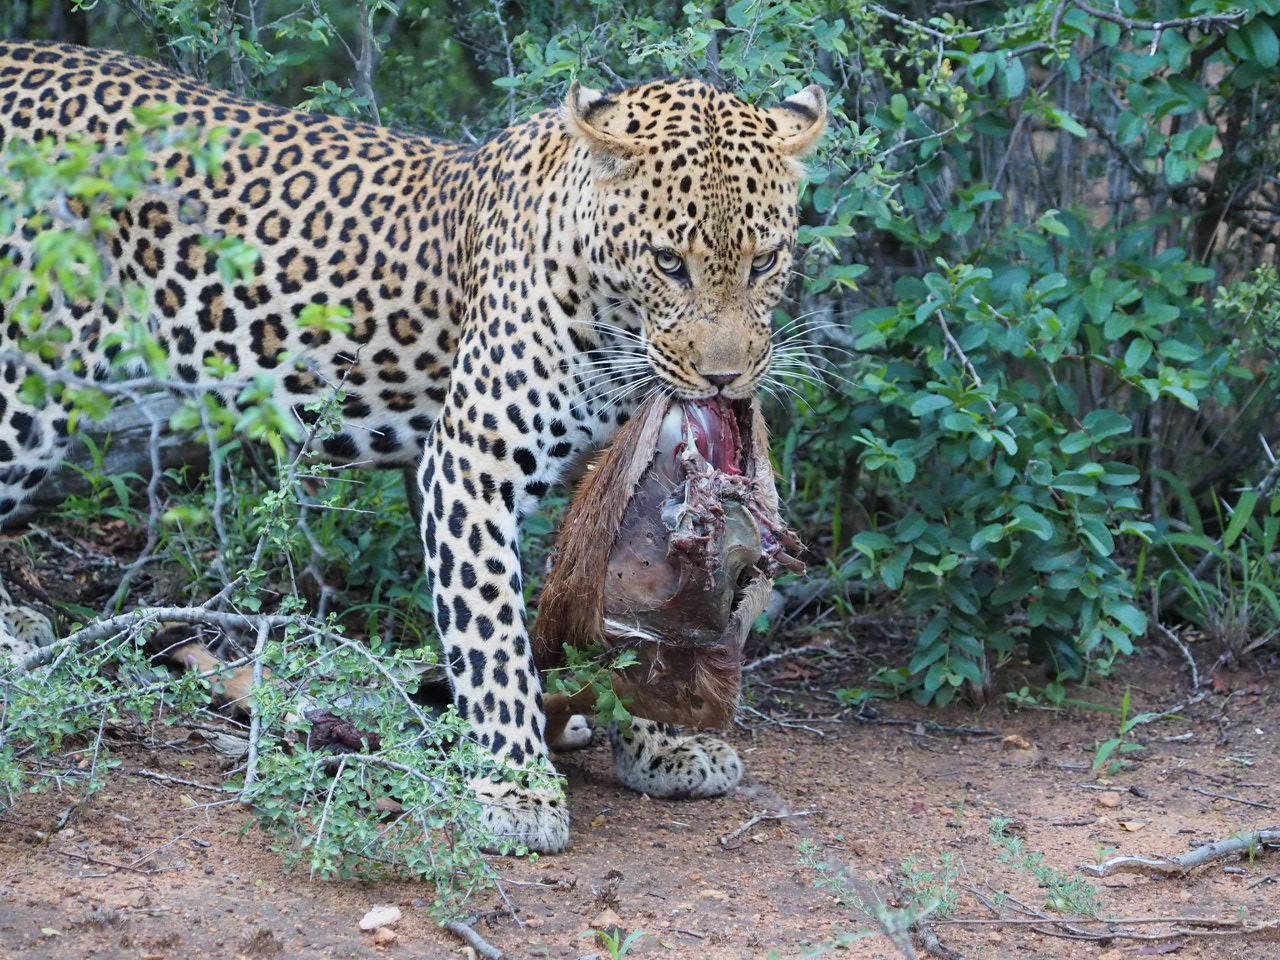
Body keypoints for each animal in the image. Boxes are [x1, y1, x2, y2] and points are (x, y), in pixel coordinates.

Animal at [0, 41, 826, 853]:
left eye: (764, 261)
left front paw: (662, 741)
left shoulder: (617, 470)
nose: (724, 378)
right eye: (667, 262)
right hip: (29, 384)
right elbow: (492, 629)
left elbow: (631, 616)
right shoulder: (471, 458)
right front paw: (516, 786)